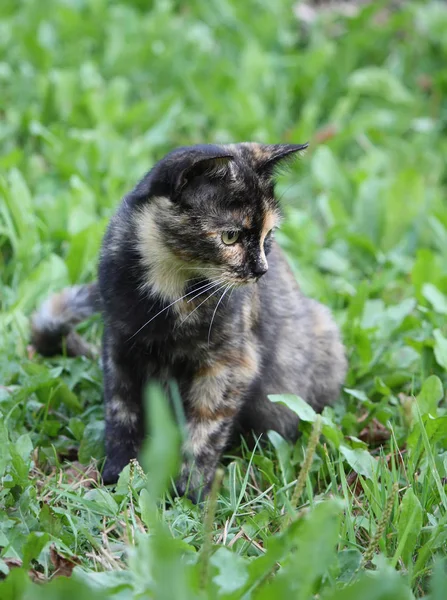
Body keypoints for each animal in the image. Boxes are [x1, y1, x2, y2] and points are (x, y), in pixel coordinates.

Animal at [31, 144, 348, 502]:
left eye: (268, 235)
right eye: (230, 237)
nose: (261, 270)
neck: (171, 285)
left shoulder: (230, 363)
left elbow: (206, 429)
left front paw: (189, 493)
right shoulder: (118, 346)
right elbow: (121, 411)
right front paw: (119, 474)